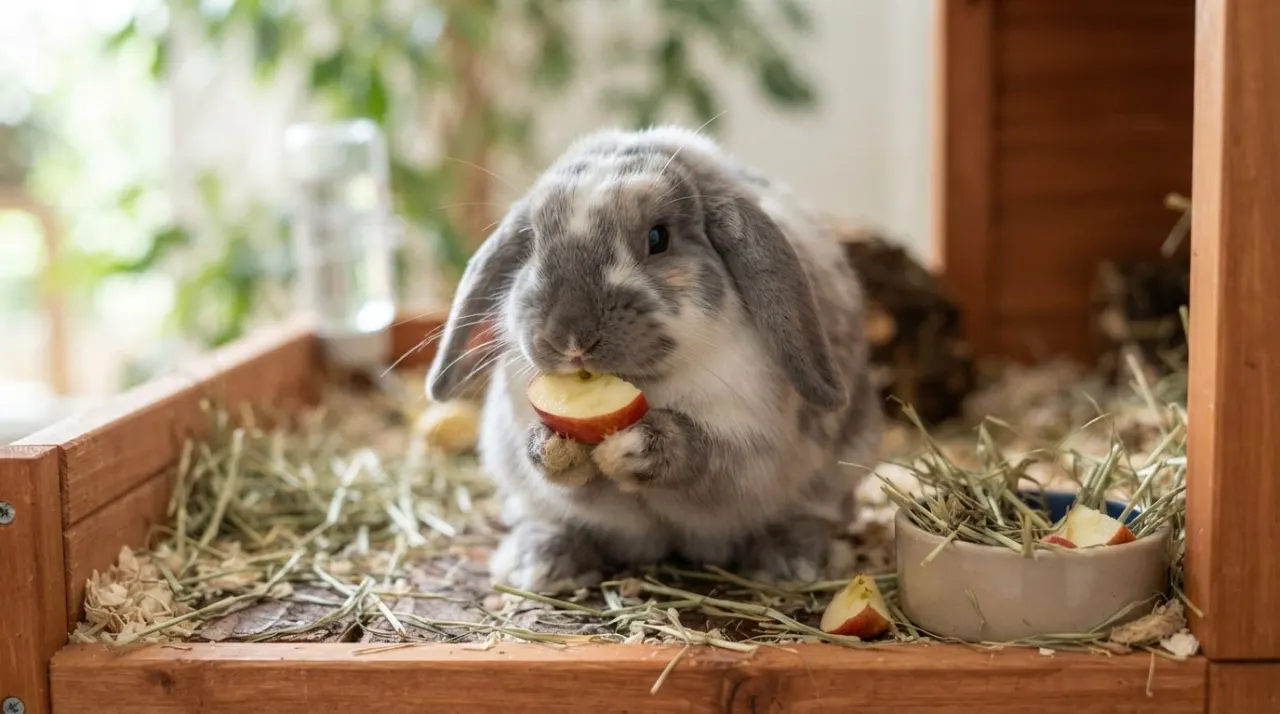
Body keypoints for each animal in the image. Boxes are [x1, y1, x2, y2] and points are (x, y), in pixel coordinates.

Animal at [425, 125, 883, 593]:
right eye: (533, 241)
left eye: (658, 238)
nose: (570, 337)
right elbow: (562, 479)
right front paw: (553, 447)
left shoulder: (747, 441)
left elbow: (700, 456)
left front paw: (632, 447)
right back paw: (540, 563)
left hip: (836, 474)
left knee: (809, 515)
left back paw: (795, 562)